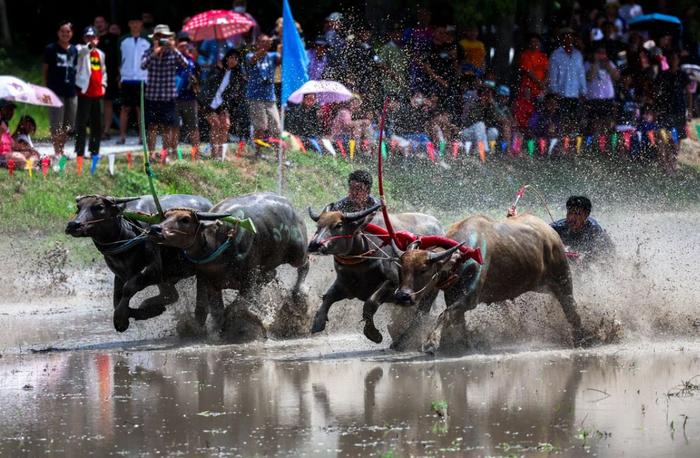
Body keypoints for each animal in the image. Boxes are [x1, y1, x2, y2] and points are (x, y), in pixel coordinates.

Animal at [66, 193, 213, 332]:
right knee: (172, 295)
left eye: (99, 207)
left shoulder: (154, 271)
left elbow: (129, 288)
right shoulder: (121, 274)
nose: (73, 225)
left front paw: (121, 318)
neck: (127, 236)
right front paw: (148, 311)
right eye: (78, 207)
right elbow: (116, 299)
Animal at [149, 191, 308, 338]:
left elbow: (239, 305)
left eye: (185, 219)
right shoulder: (207, 280)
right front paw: (211, 330)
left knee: (304, 265)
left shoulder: (248, 278)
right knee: (271, 275)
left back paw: (299, 293)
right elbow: (212, 309)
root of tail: (290, 207)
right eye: (166, 217)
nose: (155, 229)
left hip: (297, 253)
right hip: (267, 266)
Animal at [308, 204, 442, 348]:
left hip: (430, 291)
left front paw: (373, 334)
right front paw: (318, 322)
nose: (314, 244)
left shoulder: (393, 284)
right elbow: (328, 297)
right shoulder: (345, 286)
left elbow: (370, 303)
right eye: (318, 225)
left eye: (338, 225)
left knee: (422, 312)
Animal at [394, 213, 592, 352]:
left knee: (571, 309)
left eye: (423, 270)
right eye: (401, 269)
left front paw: (431, 343)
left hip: (562, 279)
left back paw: (582, 338)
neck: (462, 256)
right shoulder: (451, 295)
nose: (402, 296)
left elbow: (445, 314)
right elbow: (451, 319)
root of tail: (551, 234)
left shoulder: (470, 299)